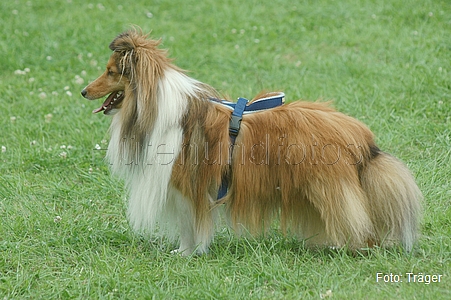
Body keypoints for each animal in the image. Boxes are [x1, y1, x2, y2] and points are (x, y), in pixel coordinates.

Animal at [82, 28, 424, 255]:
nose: (84, 91)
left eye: (110, 72)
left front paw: (189, 254)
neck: (155, 106)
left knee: (356, 220)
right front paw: (185, 252)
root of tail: (360, 135)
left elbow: (190, 224)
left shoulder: (189, 187)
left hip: (330, 189)